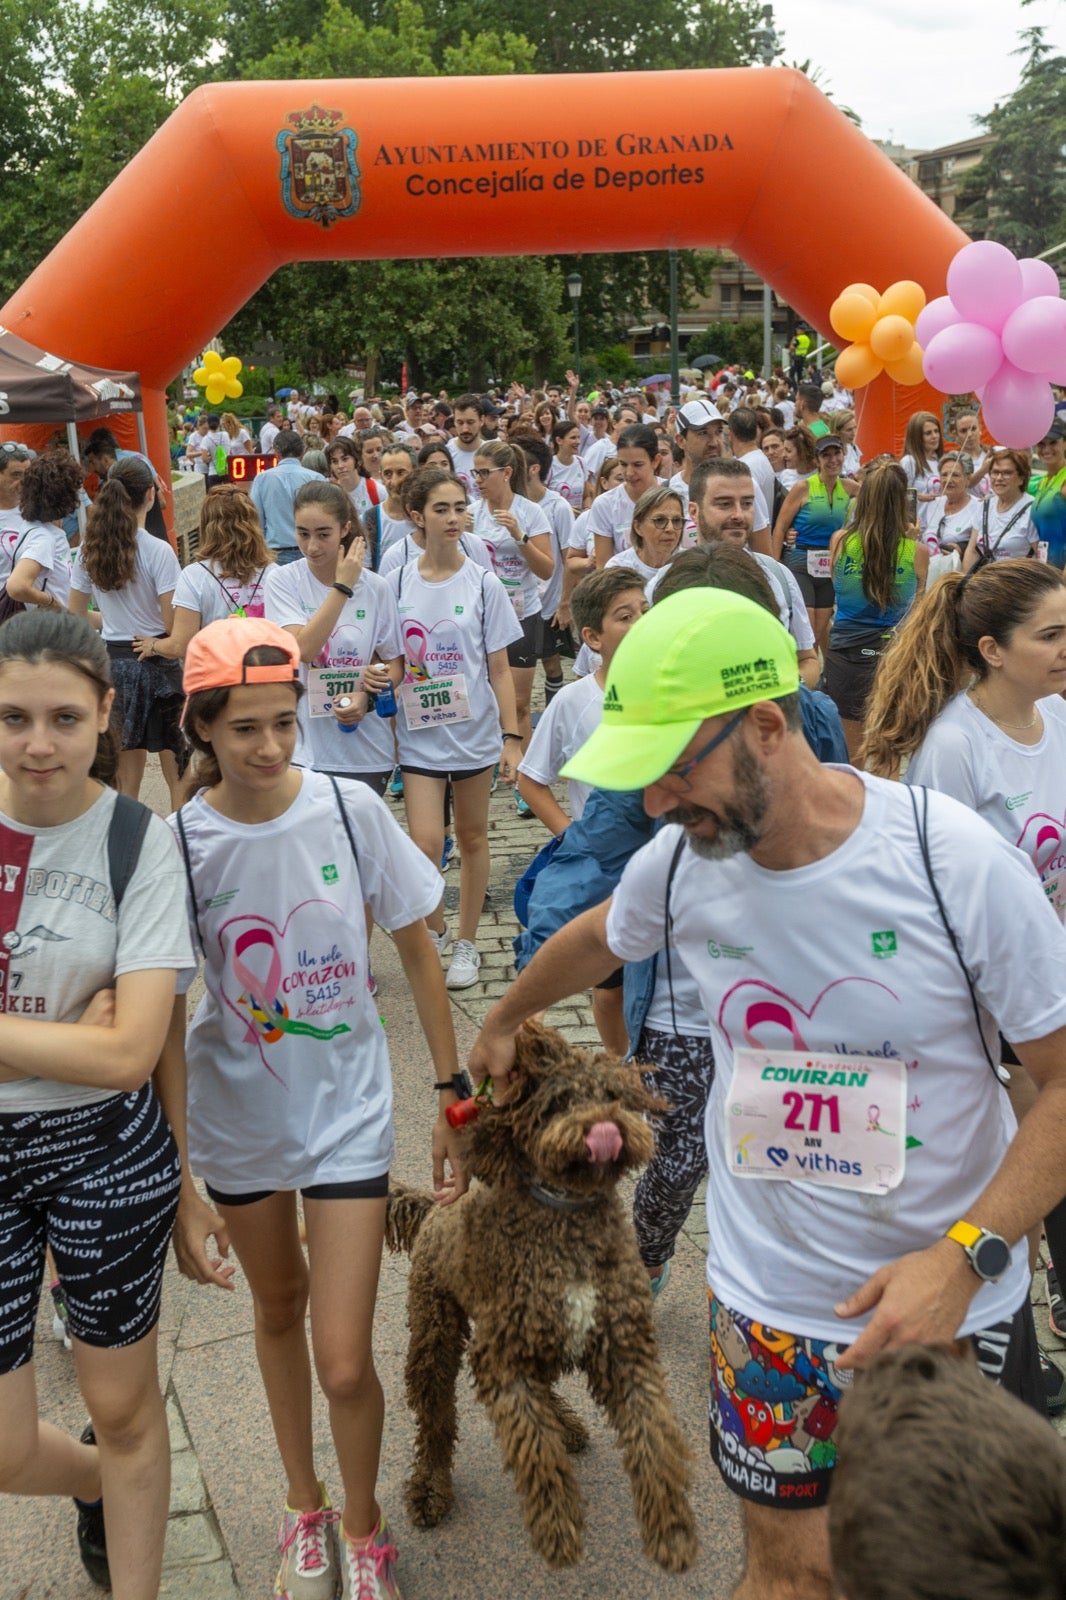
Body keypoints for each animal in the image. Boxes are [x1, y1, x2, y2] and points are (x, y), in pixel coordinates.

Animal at [384, 1017, 697, 1568]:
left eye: (613, 1095)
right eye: (559, 1101)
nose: (605, 1129)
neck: (567, 1219)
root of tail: (437, 1205)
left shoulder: (624, 1346)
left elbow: (654, 1435)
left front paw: (671, 1525)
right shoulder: (500, 1359)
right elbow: (532, 1446)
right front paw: (557, 1524)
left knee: (541, 1387)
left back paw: (565, 1423)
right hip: (435, 1332)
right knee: (436, 1419)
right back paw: (430, 1487)